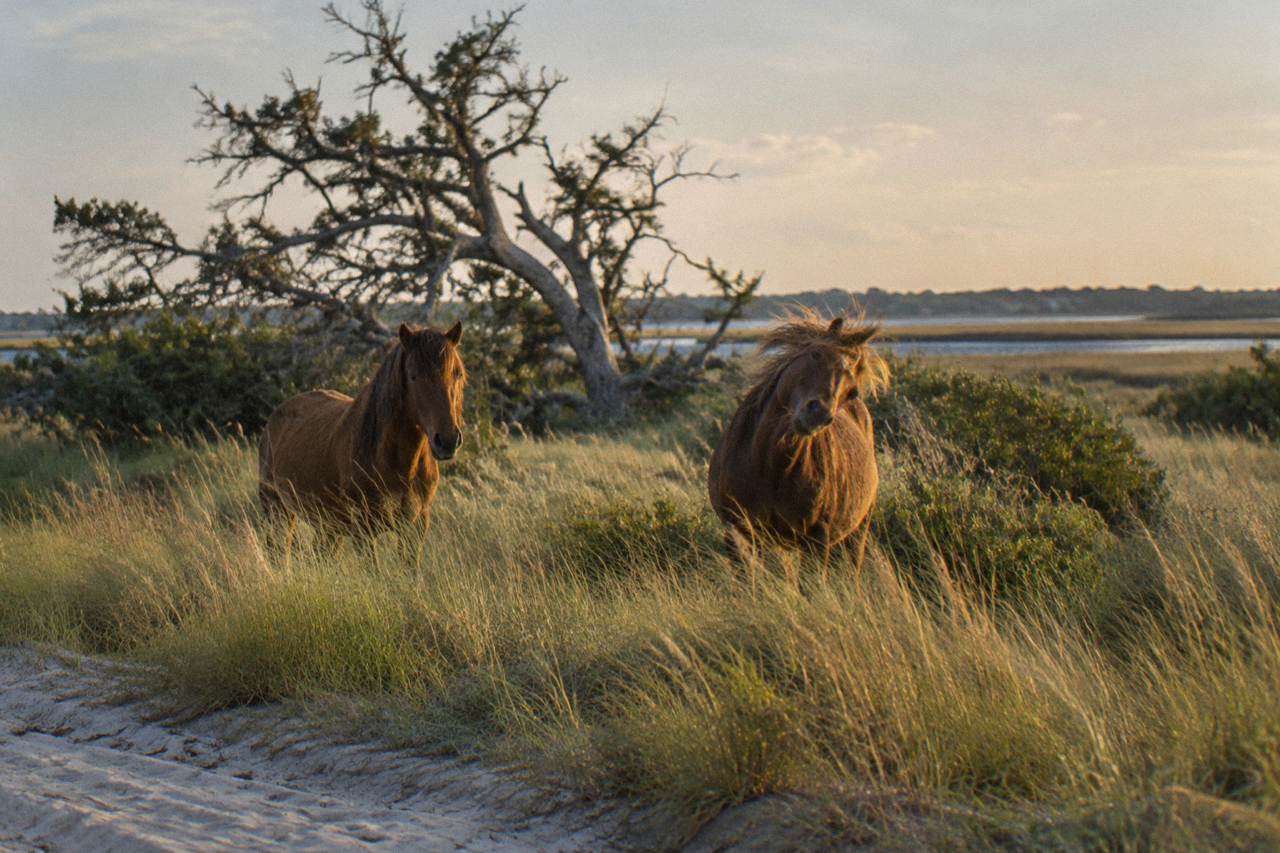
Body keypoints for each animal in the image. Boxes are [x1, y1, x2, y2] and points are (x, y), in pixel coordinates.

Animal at [258, 321, 466, 532]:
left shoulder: (416, 525)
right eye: (413, 376)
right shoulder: (363, 528)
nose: (448, 440)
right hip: (276, 511)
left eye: (457, 374)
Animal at [707, 313, 890, 573]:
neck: (770, 467)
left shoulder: (817, 537)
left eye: (852, 392)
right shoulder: (739, 529)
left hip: (857, 531)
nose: (818, 414)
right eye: (816, 353)